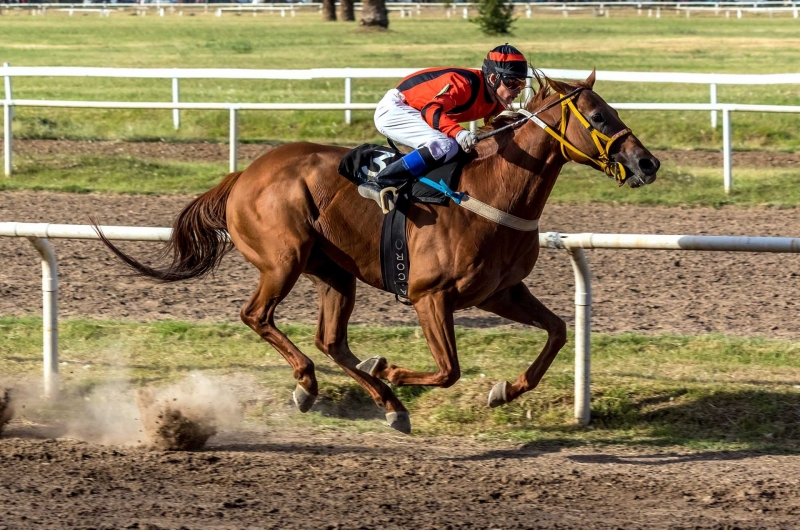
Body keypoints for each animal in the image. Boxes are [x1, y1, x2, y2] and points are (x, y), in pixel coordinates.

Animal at [97, 71, 660, 434]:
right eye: (599, 117)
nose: (647, 163)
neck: (492, 191)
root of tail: (243, 175)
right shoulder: (430, 295)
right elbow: (449, 369)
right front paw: (390, 369)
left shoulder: (497, 292)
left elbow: (558, 331)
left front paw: (504, 389)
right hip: (284, 259)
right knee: (257, 316)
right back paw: (316, 382)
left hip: (333, 272)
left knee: (331, 340)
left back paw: (381, 401)